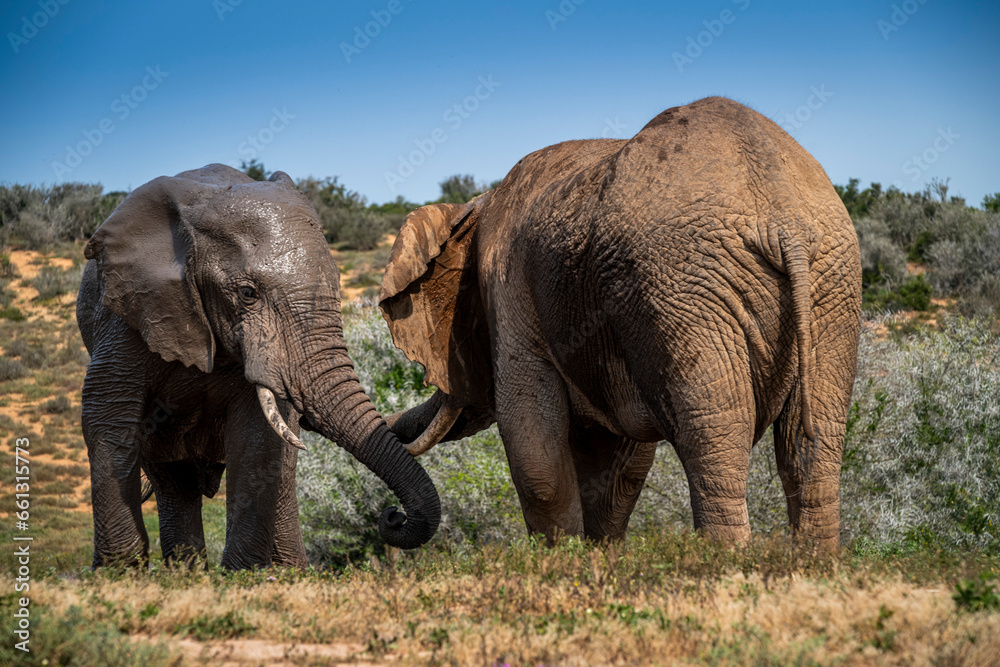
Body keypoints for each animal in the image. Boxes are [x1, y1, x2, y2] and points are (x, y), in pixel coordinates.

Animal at [77, 164, 439, 569]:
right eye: (248, 293)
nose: (392, 515)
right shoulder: (128, 313)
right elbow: (107, 413)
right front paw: (119, 571)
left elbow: (257, 435)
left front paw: (243, 573)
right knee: (171, 478)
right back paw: (185, 573)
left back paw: (281, 571)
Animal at [380, 97, 862, 550]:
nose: (391, 516)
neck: (479, 205)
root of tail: (782, 218)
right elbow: (619, 470)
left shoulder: (510, 296)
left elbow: (538, 465)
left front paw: (562, 562)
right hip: (829, 281)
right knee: (811, 438)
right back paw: (814, 564)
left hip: (679, 282)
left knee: (716, 432)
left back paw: (726, 565)